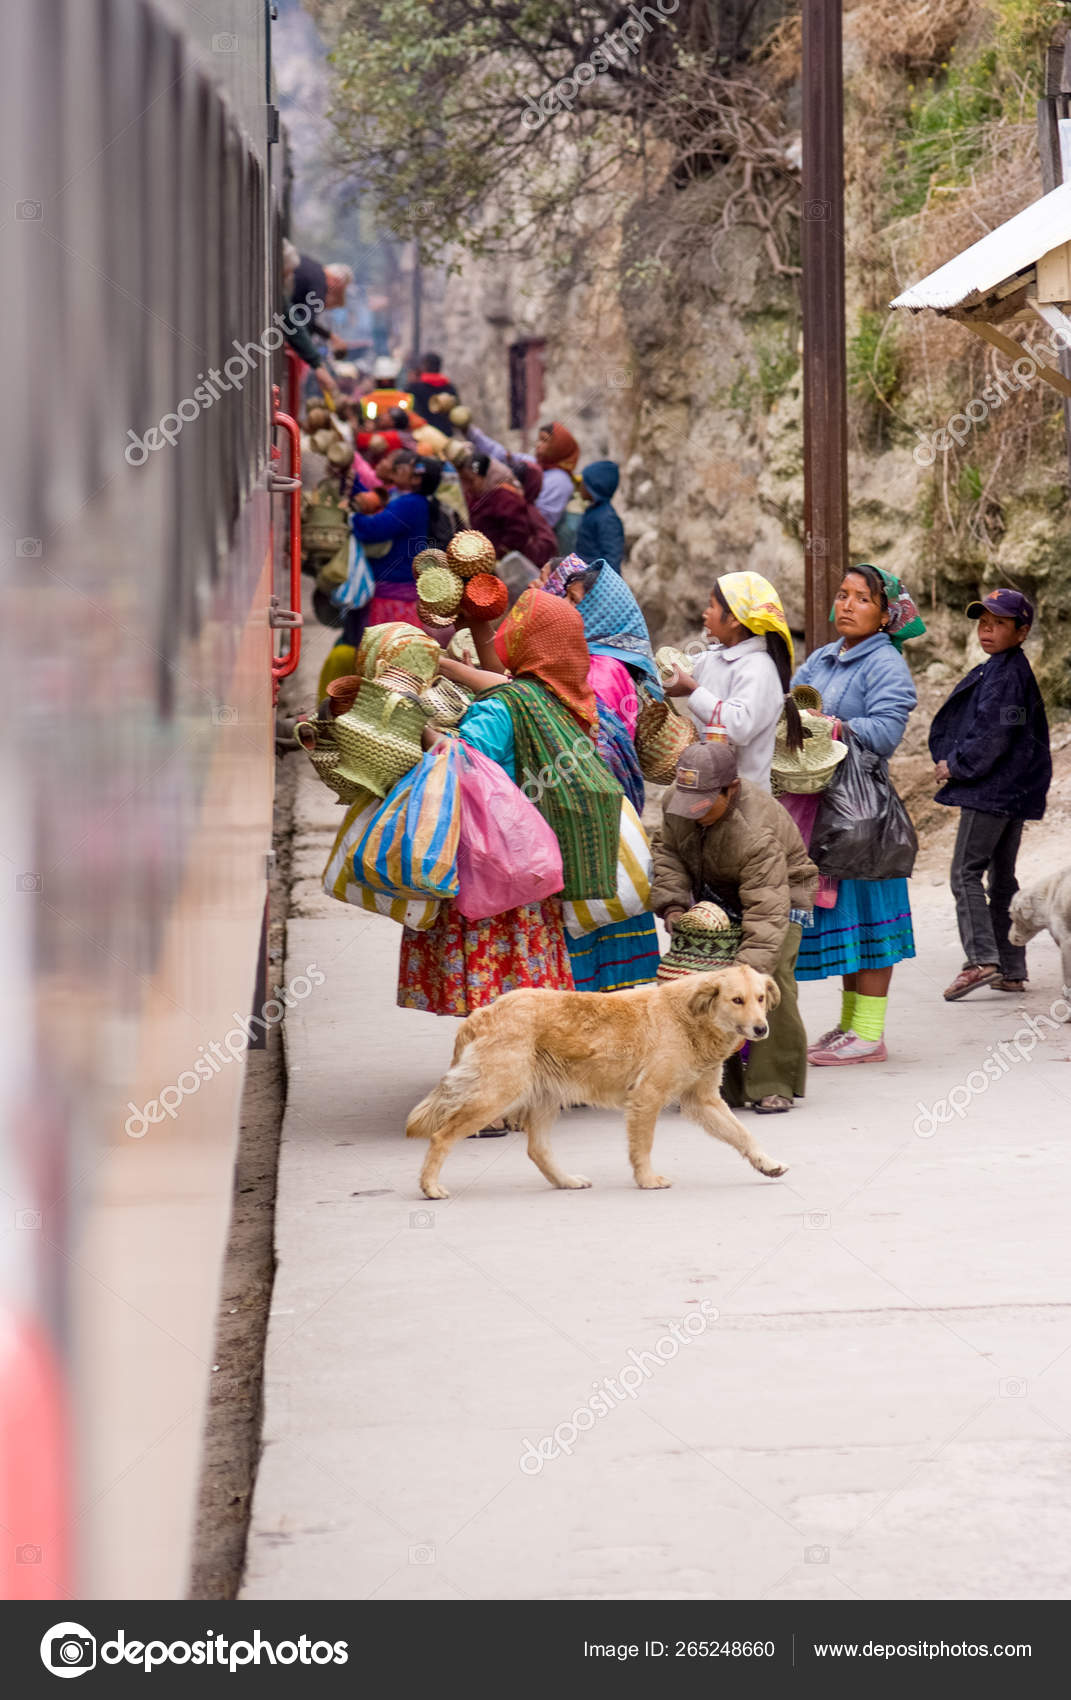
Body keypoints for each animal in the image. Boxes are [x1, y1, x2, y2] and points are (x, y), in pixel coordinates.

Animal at [409, 965, 788, 1203]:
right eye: (737, 1000)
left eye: (760, 999)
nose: (761, 1029)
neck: (691, 1019)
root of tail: (482, 1012)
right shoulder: (647, 1097)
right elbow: (643, 1147)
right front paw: (647, 1180)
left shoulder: (703, 1101)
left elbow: (743, 1135)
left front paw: (766, 1163)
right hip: (496, 1095)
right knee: (441, 1136)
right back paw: (430, 1187)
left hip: (544, 1098)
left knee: (537, 1150)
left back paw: (566, 1181)